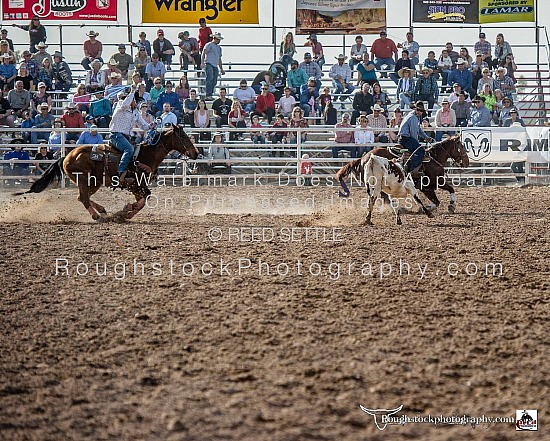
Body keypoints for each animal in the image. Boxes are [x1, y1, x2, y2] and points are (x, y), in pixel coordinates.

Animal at [20, 123, 199, 220]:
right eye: (183, 136)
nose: (196, 153)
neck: (146, 154)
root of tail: (67, 156)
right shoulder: (136, 184)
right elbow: (145, 198)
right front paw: (126, 210)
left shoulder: (138, 186)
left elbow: (144, 200)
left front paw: (126, 211)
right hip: (84, 179)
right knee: (83, 198)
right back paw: (97, 216)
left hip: (94, 182)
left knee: (82, 197)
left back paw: (102, 211)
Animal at [336, 135, 470, 212]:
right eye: (462, 147)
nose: (467, 162)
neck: (434, 158)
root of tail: (363, 158)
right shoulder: (436, 183)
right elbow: (450, 189)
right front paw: (451, 205)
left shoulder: (427, 188)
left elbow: (437, 200)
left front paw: (426, 208)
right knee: (384, 197)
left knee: (383, 197)